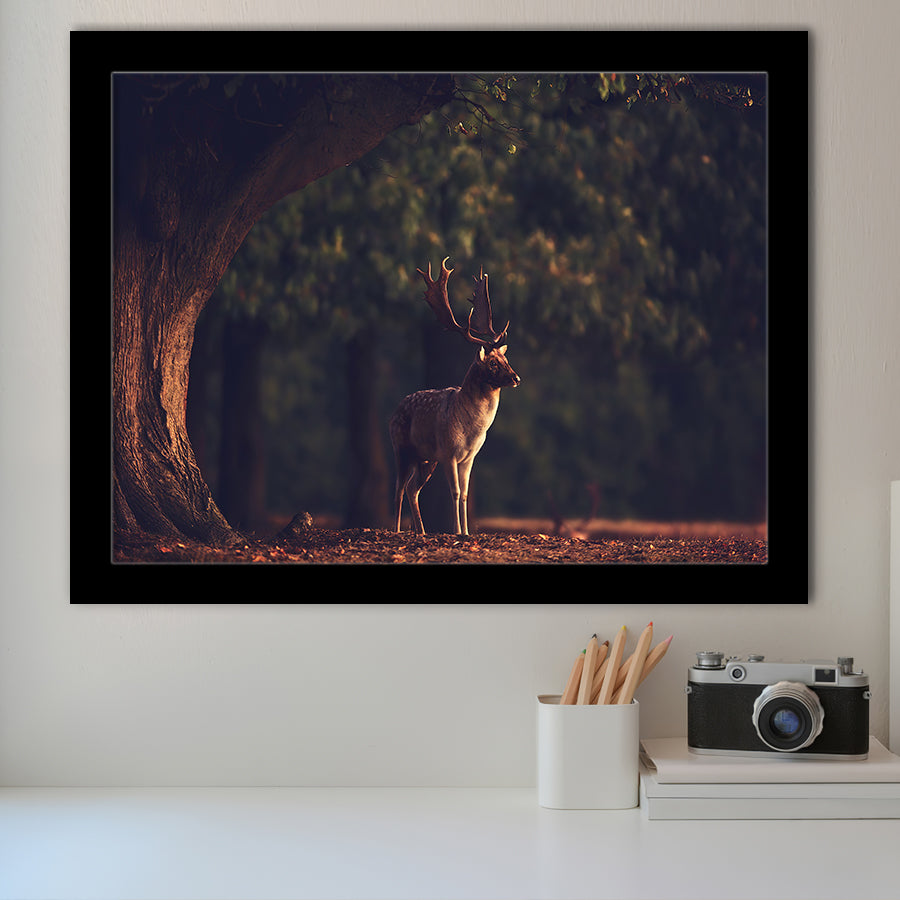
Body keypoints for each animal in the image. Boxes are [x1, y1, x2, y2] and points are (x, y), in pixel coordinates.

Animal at [389, 257, 520, 536]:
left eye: (506, 359)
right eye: (493, 363)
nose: (516, 378)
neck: (472, 429)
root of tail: (395, 410)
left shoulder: (469, 457)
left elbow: (466, 494)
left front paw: (467, 531)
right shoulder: (449, 452)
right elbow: (455, 491)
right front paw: (457, 531)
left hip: (426, 459)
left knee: (412, 488)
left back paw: (422, 531)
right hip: (401, 447)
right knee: (398, 489)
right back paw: (396, 530)